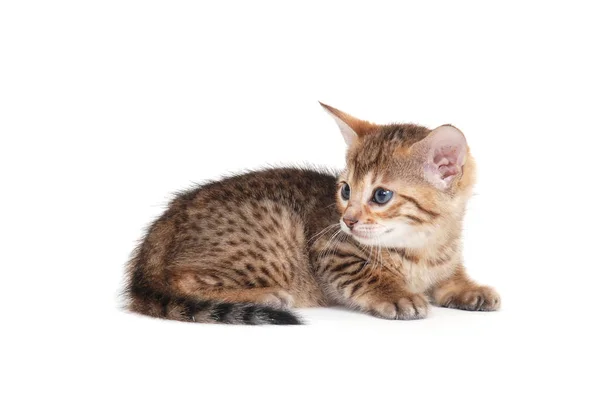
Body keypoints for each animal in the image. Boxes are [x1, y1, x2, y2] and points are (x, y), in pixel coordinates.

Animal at [125, 102, 502, 322]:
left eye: (381, 195)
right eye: (346, 190)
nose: (347, 220)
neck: (425, 246)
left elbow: (450, 277)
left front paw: (470, 289)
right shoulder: (331, 250)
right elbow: (368, 273)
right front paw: (396, 294)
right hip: (273, 236)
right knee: (181, 279)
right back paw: (265, 295)